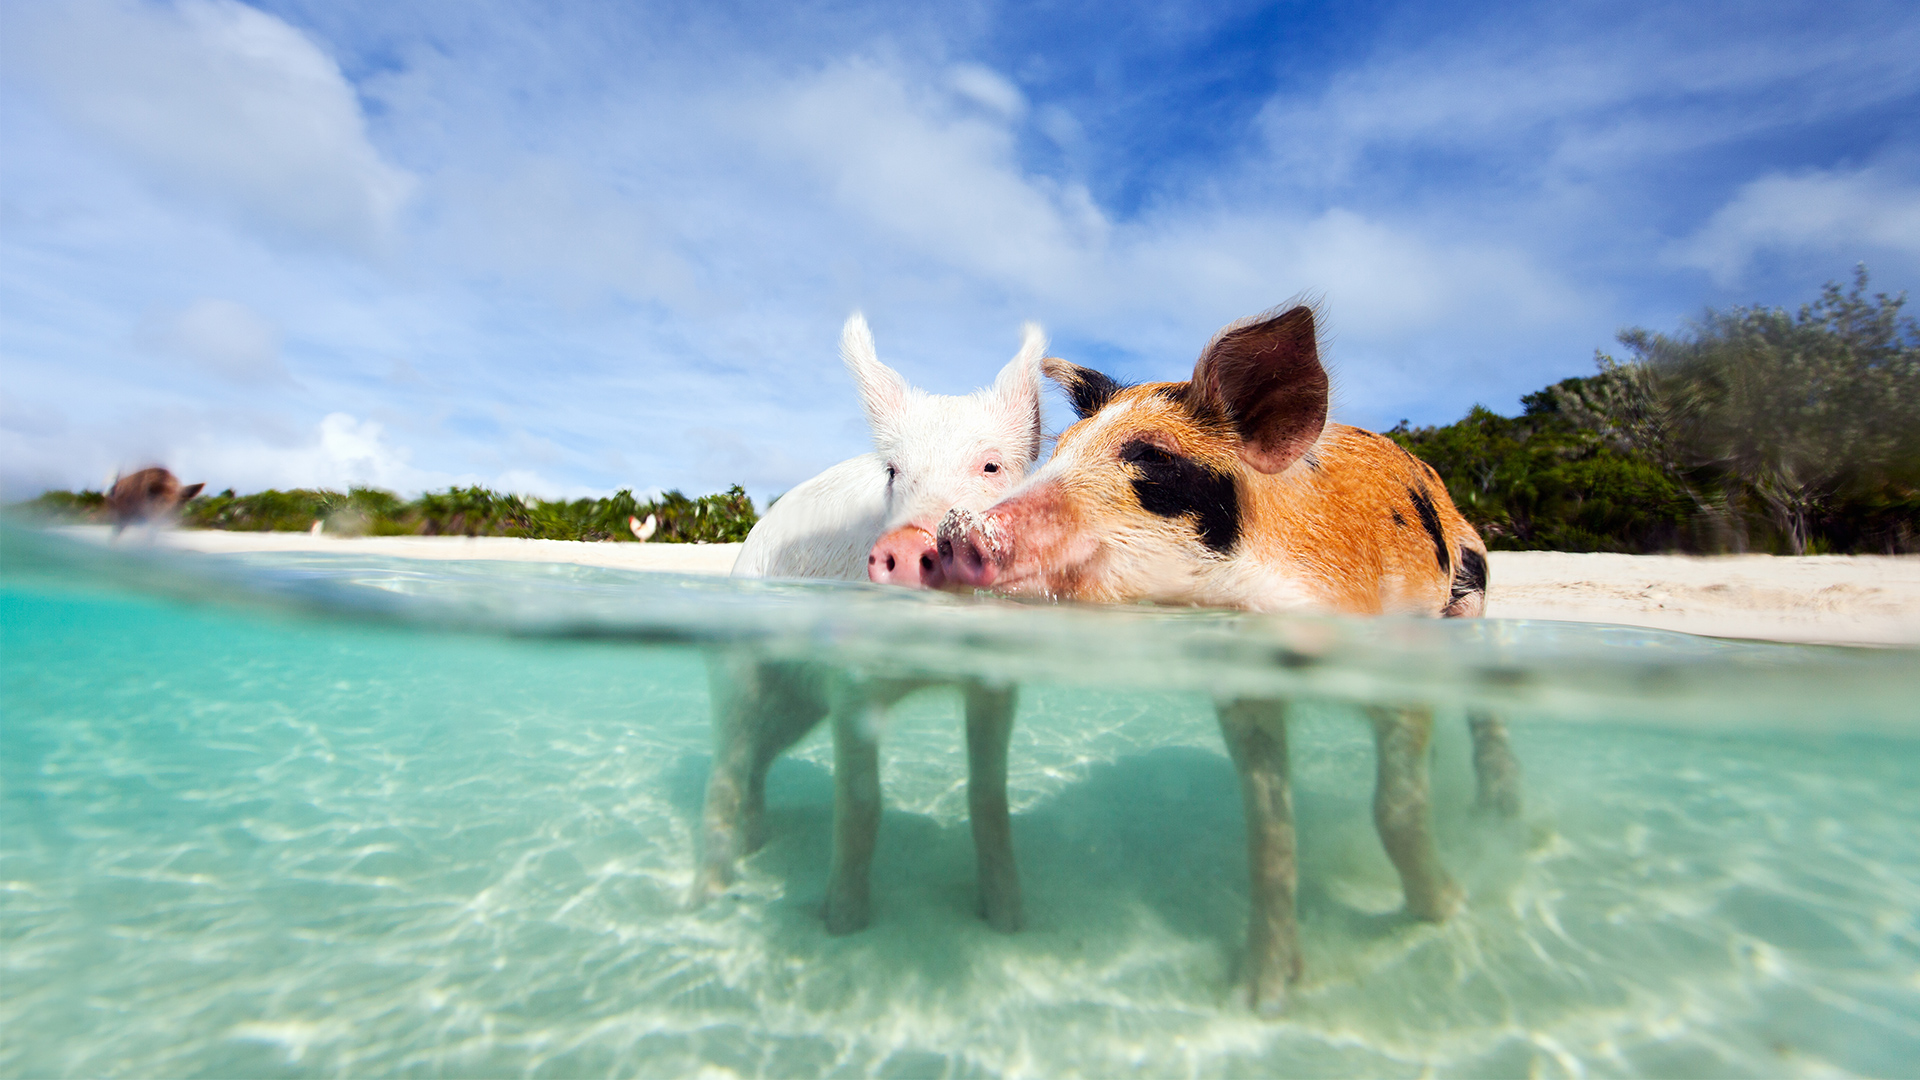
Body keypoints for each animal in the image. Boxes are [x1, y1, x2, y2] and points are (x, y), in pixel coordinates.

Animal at [694, 313, 1045, 934]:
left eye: (991, 465)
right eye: (893, 472)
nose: (906, 545)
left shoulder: (995, 681)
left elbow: (987, 796)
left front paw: (1009, 920)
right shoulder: (851, 681)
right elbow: (860, 801)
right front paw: (842, 923)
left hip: (797, 706)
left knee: (759, 758)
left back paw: (757, 843)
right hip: (738, 664)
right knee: (728, 766)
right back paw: (707, 900)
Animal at [938, 303, 1522, 1013]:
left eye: (1152, 458)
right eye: (1059, 450)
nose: (957, 530)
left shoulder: (1393, 658)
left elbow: (1396, 809)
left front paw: (1444, 911)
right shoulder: (1244, 692)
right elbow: (1270, 831)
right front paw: (1261, 996)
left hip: (1471, 593)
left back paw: (1500, 816)